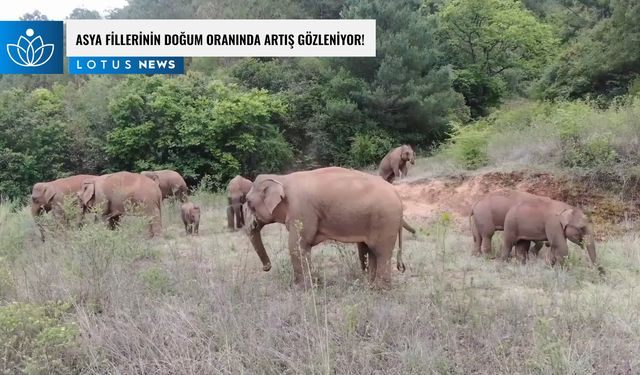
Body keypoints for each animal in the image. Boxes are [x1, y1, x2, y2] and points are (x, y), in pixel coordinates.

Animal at [242, 167, 408, 290]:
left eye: (249, 202)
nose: (266, 268)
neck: (282, 178)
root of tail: (397, 195)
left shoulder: (301, 210)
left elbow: (297, 245)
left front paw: (300, 289)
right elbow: (303, 247)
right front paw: (313, 285)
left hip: (386, 219)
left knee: (382, 252)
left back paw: (380, 290)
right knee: (372, 251)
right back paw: (370, 287)